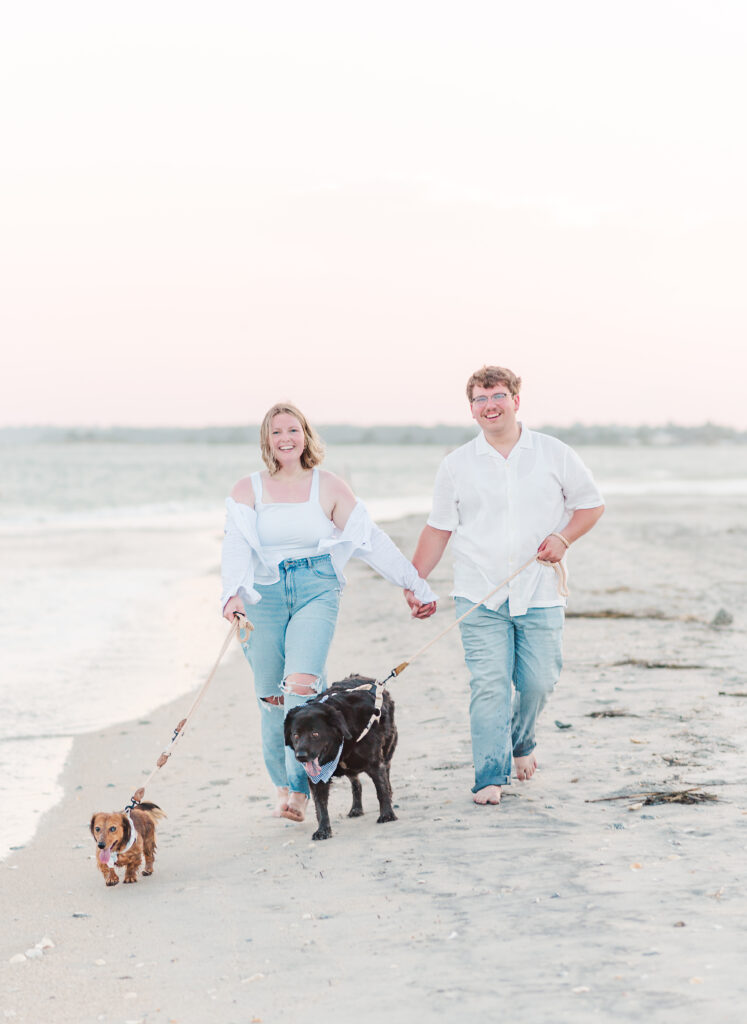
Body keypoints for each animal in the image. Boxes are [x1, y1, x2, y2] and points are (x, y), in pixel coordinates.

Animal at [284, 671, 399, 839]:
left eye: (315, 733)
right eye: (295, 735)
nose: (301, 756)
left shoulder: (375, 763)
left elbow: (381, 789)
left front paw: (387, 815)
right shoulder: (317, 779)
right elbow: (320, 806)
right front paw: (323, 830)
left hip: (387, 752)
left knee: (386, 777)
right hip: (351, 768)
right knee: (356, 783)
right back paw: (356, 808)